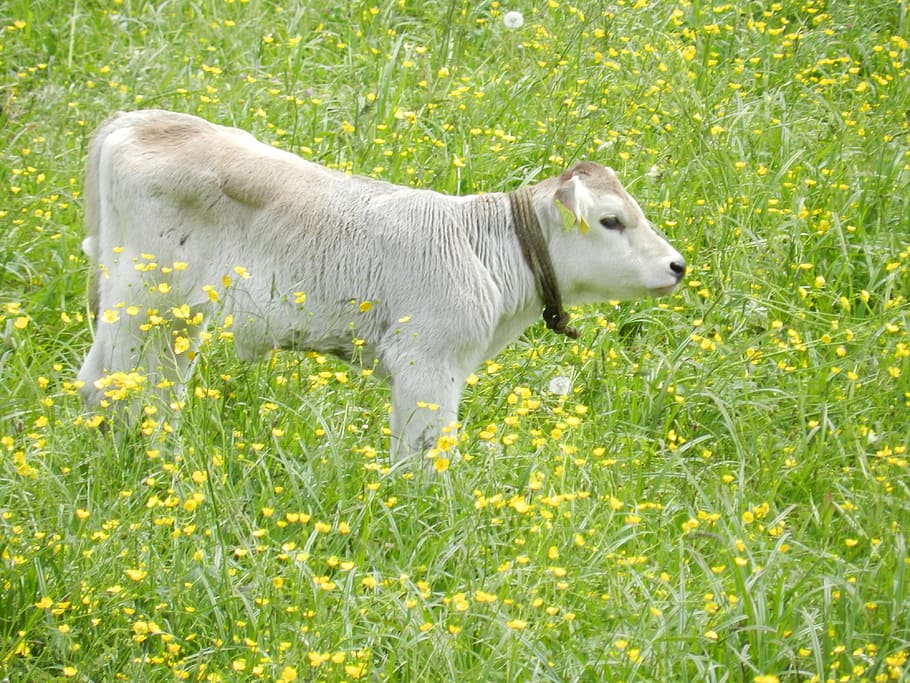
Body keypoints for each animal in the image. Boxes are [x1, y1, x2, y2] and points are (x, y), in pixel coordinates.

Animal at [77, 109, 686, 462]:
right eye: (611, 220)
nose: (677, 265)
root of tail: (140, 119)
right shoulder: (428, 361)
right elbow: (424, 453)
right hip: (142, 303)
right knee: (120, 385)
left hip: (172, 315)